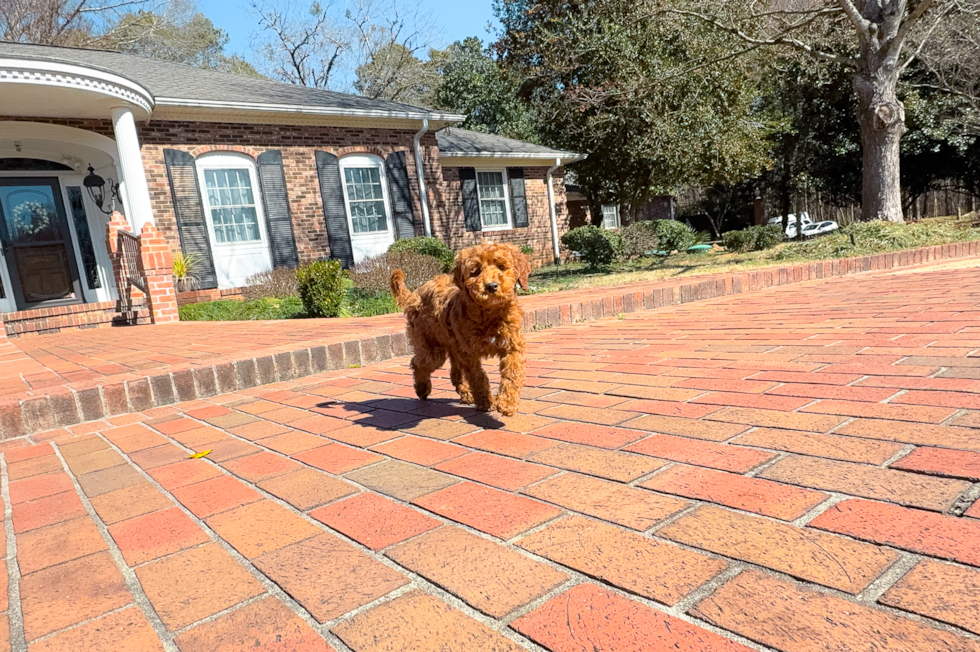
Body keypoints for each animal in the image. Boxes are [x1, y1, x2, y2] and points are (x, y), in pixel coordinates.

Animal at [388, 242, 528, 416]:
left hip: (453, 347)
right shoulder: (469, 353)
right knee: (417, 363)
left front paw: (507, 403)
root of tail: (415, 295)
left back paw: (466, 394)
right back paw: (422, 388)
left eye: (502, 267)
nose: (491, 286)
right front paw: (485, 401)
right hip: (432, 348)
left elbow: (512, 373)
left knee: (455, 373)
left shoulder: (512, 345)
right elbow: (477, 377)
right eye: (475, 271)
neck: (490, 314)